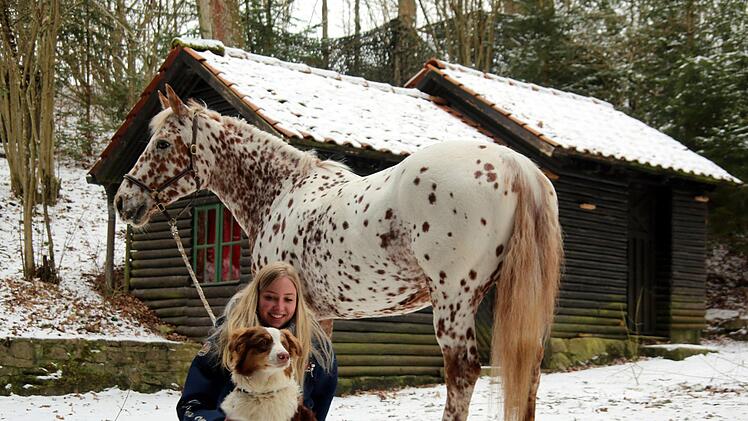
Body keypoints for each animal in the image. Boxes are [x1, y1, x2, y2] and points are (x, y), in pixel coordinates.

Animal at [114, 85, 563, 421]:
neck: (280, 191)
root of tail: (515, 165)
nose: (124, 200)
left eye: (163, 143)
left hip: (454, 300)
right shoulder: (321, 314)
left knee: (463, 372)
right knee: (530, 370)